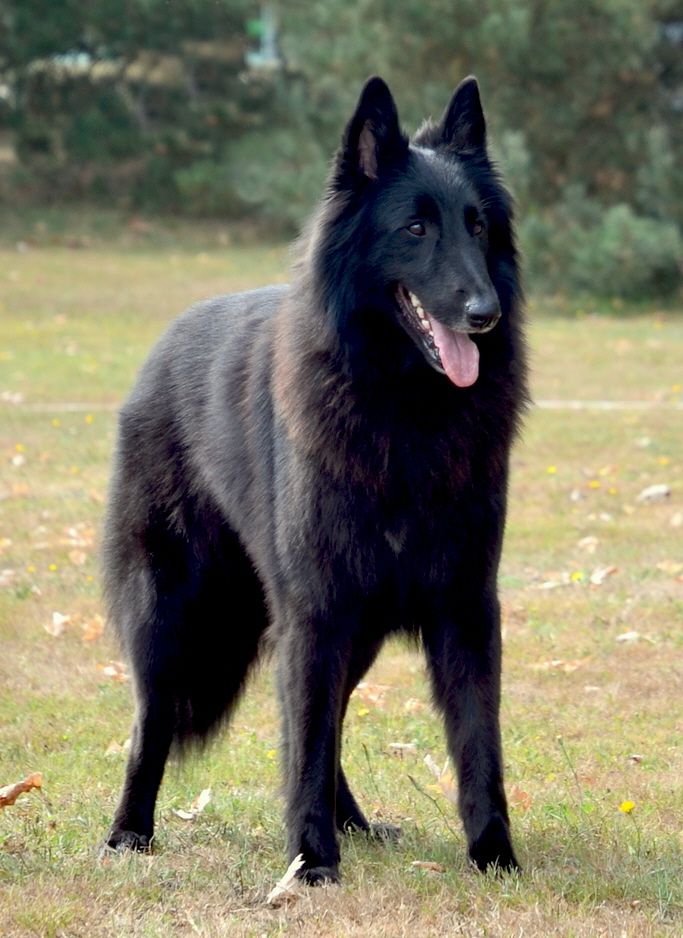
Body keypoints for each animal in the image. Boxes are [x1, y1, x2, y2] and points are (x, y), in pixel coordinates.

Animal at [102, 75, 528, 883]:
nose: (484, 314)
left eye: (478, 225)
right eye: (415, 228)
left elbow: (476, 738)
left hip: (351, 631)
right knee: (151, 721)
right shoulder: (317, 609)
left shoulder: (462, 604)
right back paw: (128, 832)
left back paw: (353, 823)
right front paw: (310, 862)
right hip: (174, 611)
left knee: (328, 724)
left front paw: (495, 855)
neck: (402, 412)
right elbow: (303, 739)